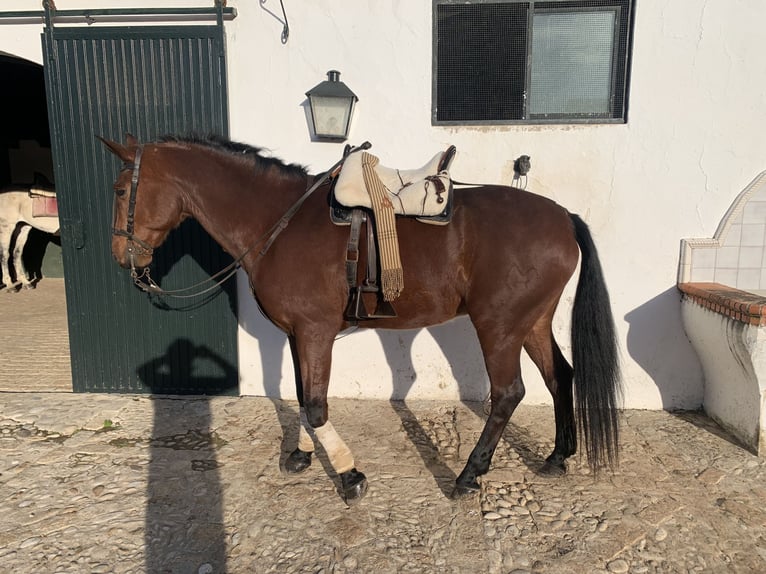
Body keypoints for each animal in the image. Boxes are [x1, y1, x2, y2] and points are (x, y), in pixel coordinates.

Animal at [100, 134, 624, 504]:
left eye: (122, 189)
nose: (121, 257)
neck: (279, 221)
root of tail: (563, 217)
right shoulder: (299, 335)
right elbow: (303, 396)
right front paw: (301, 455)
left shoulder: (314, 332)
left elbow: (315, 405)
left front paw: (350, 475)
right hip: (531, 322)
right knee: (560, 377)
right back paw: (557, 457)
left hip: (499, 326)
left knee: (509, 394)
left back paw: (468, 475)